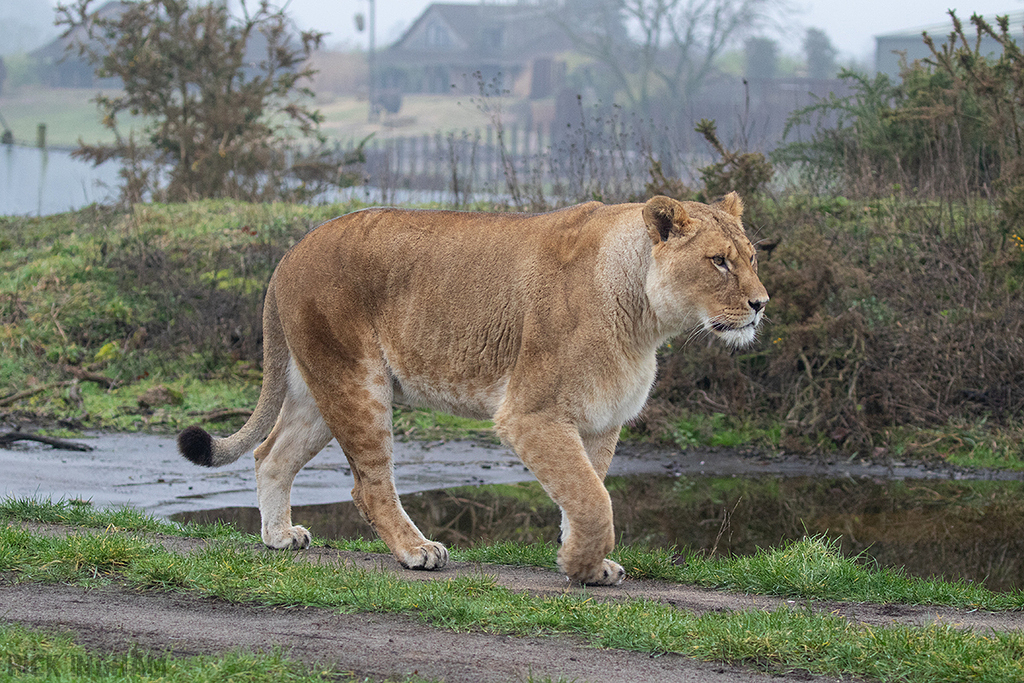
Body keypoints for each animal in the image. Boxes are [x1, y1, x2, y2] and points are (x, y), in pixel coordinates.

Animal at [178, 193, 768, 585]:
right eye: (718, 261)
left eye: (752, 258)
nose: (762, 304)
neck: (644, 319)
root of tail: (290, 253)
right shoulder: (531, 413)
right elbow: (593, 499)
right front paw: (581, 565)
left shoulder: (601, 422)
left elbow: (585, 491)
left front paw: (589, 561)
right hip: (356, 380)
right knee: (368, 486)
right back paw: (416, 551)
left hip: (319, 389)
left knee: (269, 454)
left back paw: (279, 537)